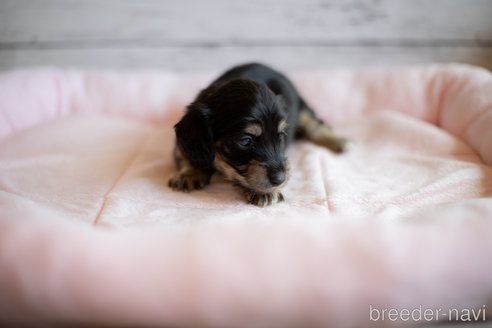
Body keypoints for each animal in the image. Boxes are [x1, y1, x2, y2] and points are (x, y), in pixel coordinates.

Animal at [169, 63, 350, 206]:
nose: (281, 179)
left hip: (302, 107)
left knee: (315, 125)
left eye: (281, 135)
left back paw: (339, 141)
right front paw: (188, 173)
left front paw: (265, 192)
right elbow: (186, 156)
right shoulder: (182, 144)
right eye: (245, 141)